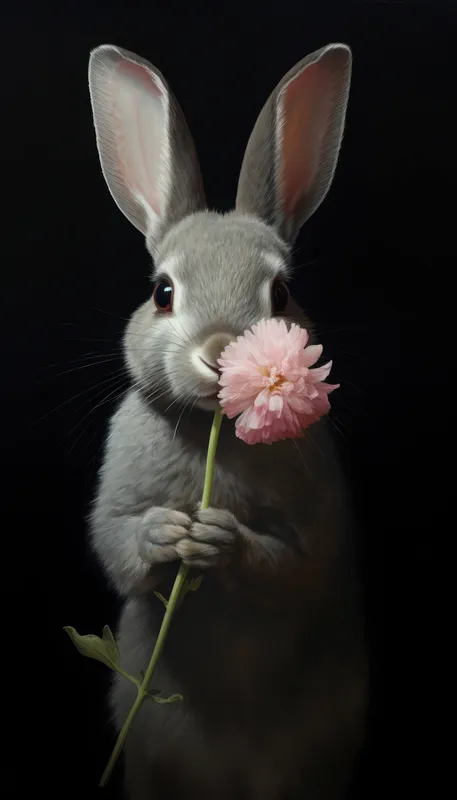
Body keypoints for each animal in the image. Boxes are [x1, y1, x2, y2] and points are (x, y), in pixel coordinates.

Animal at [88, 42, 368, 800]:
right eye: (162, 292)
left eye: (282, 292)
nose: (220, 354)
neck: (212, 435)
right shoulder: (114, 497)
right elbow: (117, 542)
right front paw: (168, 533)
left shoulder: (317, 519)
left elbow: (294, 562)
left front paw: (215, 536)